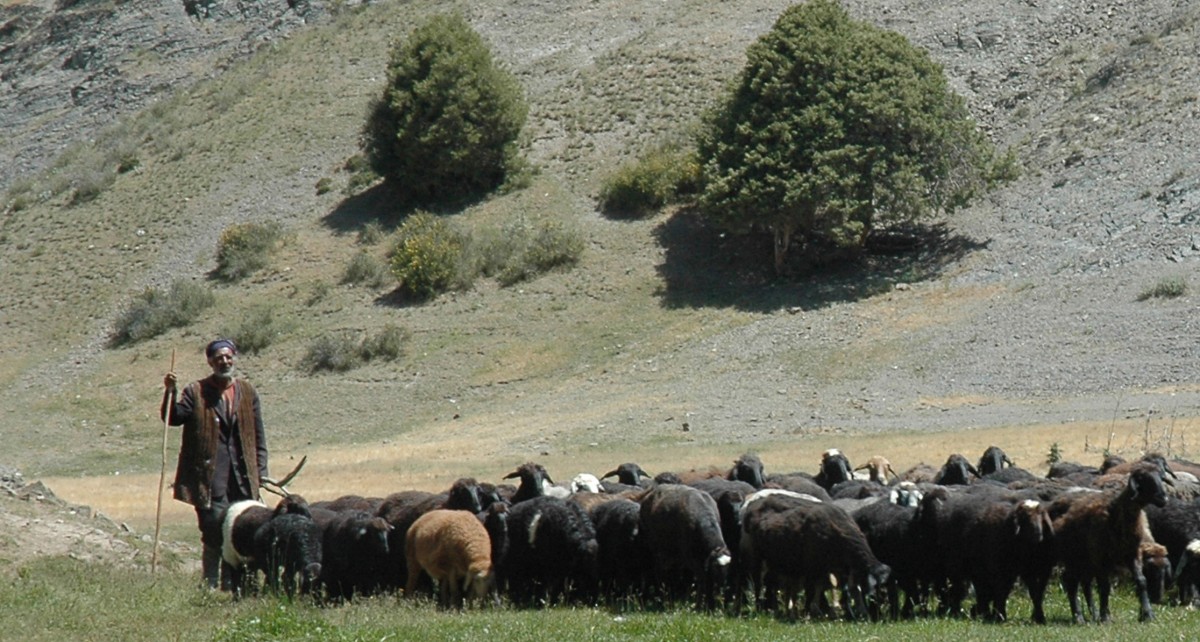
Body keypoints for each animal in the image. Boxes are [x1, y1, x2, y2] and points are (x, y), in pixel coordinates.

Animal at [1056, 463, 1166, 624]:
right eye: (1144, 478)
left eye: (1160, 477)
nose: (1164, 498)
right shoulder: (1101, 558)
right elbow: (1105, 586)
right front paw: (1105, 616)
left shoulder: (1132, 554)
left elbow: (1141, 581)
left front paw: (1147, 614)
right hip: (1074, 557)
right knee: (1071, 581)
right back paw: (1079, 617)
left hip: (1087, 561)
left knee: (1085, 583)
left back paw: (1092, 614)